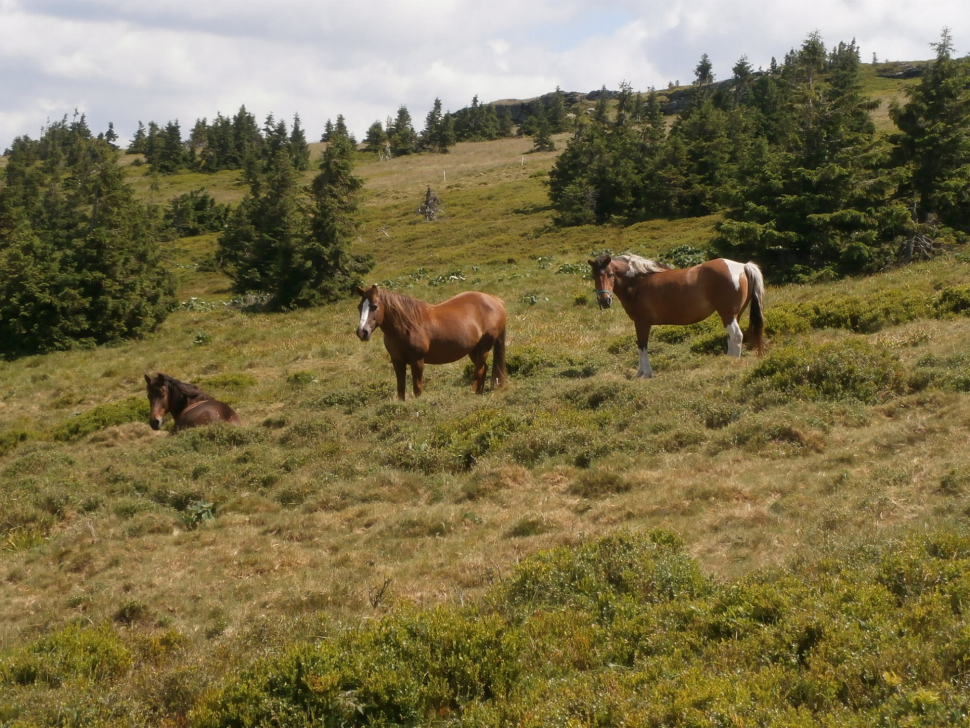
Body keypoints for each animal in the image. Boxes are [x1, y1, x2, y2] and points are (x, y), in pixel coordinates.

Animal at [354, 284, 506, 400]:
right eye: (359, 307)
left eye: (374, 306)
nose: (362, 332)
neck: (407, 326)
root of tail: (495, 300)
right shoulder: (397, 361)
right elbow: (401, 389)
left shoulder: (417, 361)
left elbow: (417, 389)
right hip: (473, 350)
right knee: (483, 368)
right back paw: (479, 394)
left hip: (484, 347)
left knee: (479, 370)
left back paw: (472, 392)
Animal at [588, 255, 768, 378]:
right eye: (594, 276)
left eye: (610, 274)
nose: (605, 301)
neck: (638, 282)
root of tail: (743, 266)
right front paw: (639, 372)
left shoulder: (642, 323)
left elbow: (642, 346)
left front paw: (646, 373)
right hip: (734, 315)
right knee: (732, 337)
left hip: (728, 314)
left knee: (736, 336)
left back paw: (730, 364)